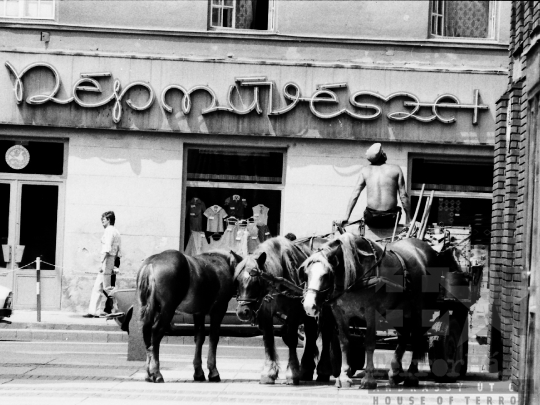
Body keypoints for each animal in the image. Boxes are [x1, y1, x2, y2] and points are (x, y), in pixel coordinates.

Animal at [137, 248, 236, 384]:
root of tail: (151, 264)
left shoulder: (199, 312)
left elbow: (199, 337)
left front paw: (198, 372)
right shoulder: (219, 309)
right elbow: (213, 337)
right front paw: (213, 371)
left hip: (151, 308)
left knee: (147, 333)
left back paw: (148, 373)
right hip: (168, 309)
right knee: (156, 333)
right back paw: (156, 372)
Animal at [233, 235, 336, 384]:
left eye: (257, 282)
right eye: (237, 281)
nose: (243, 311)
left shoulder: (294, 311)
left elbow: (292, 338)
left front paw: (292, 372)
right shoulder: (265, 312)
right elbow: (268, 339)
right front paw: (269, 372)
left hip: (324, 308)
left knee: (326, 333)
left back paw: (323, 370)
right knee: (311, 334)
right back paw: (307, 368)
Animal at [302, 234, 440, 388]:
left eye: (326, 275)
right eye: (306, 274)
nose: (309, 306)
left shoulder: (371, 312)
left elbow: (369, 343)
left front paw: (368, 379)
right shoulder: (339, 312)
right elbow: (344, 342)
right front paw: (344, 377)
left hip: (420, 310)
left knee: (416, 338)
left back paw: (411, 375)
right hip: (399, 312)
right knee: (403, 337)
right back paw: (395, 373)